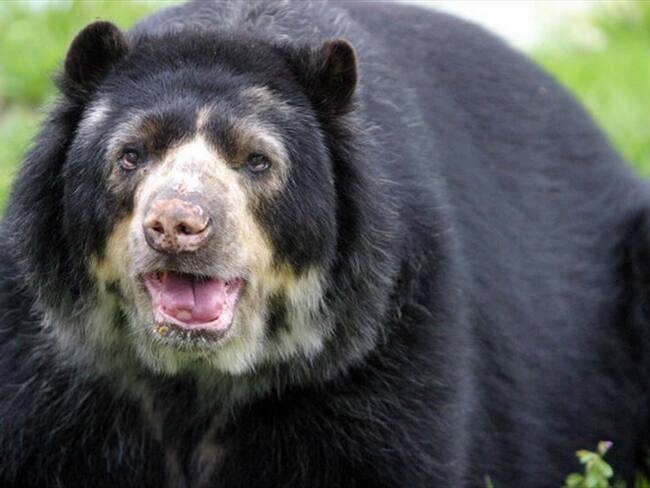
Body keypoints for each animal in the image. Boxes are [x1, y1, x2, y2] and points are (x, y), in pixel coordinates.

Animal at [0, 0, 649, 486]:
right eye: (131, 155)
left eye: (257, 161)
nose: (177, 225)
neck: (196, 377)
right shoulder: (51, 366)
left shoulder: (386, 336)